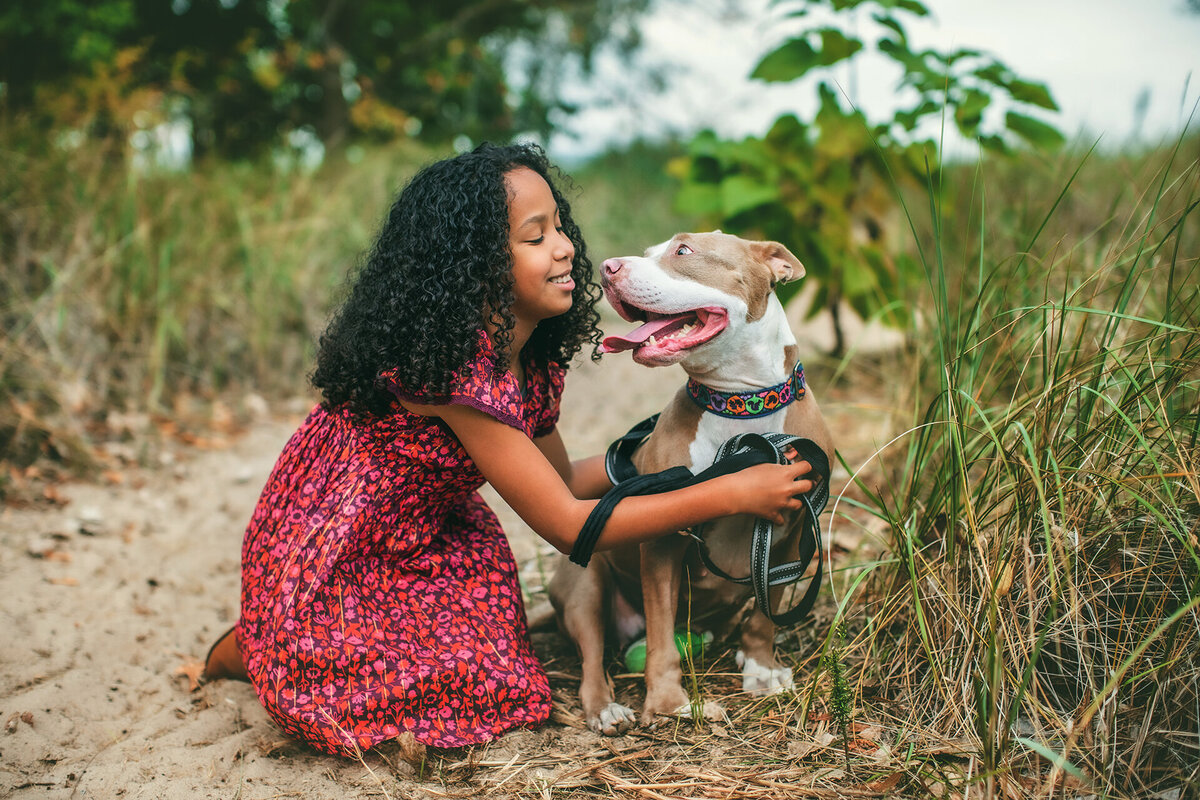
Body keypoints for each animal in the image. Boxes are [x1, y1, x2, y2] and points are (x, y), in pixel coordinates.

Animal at [547, 227, 835, 734]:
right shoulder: (662, 541)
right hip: (586, 582)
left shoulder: (796, 532)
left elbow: (766, 614)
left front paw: (761, 668)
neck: (741, 410)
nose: (607, 267)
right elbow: (662, 636)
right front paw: (668, 703)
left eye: (683, 251)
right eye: (646, 253)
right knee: (591, 658)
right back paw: (606, 708)